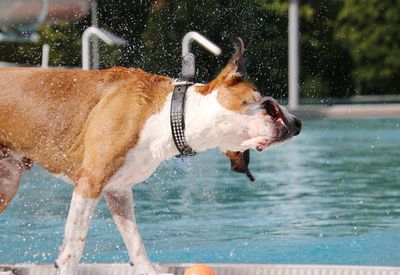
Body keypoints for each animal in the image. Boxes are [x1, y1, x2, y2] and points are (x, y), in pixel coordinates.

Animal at [0, 38, 300, 275]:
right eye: (266, 103)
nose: (297, 123)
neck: (172, 113)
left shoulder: (118, 190)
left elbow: (135, 241)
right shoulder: (91, 181)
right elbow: (74, 245)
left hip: (7, 181)